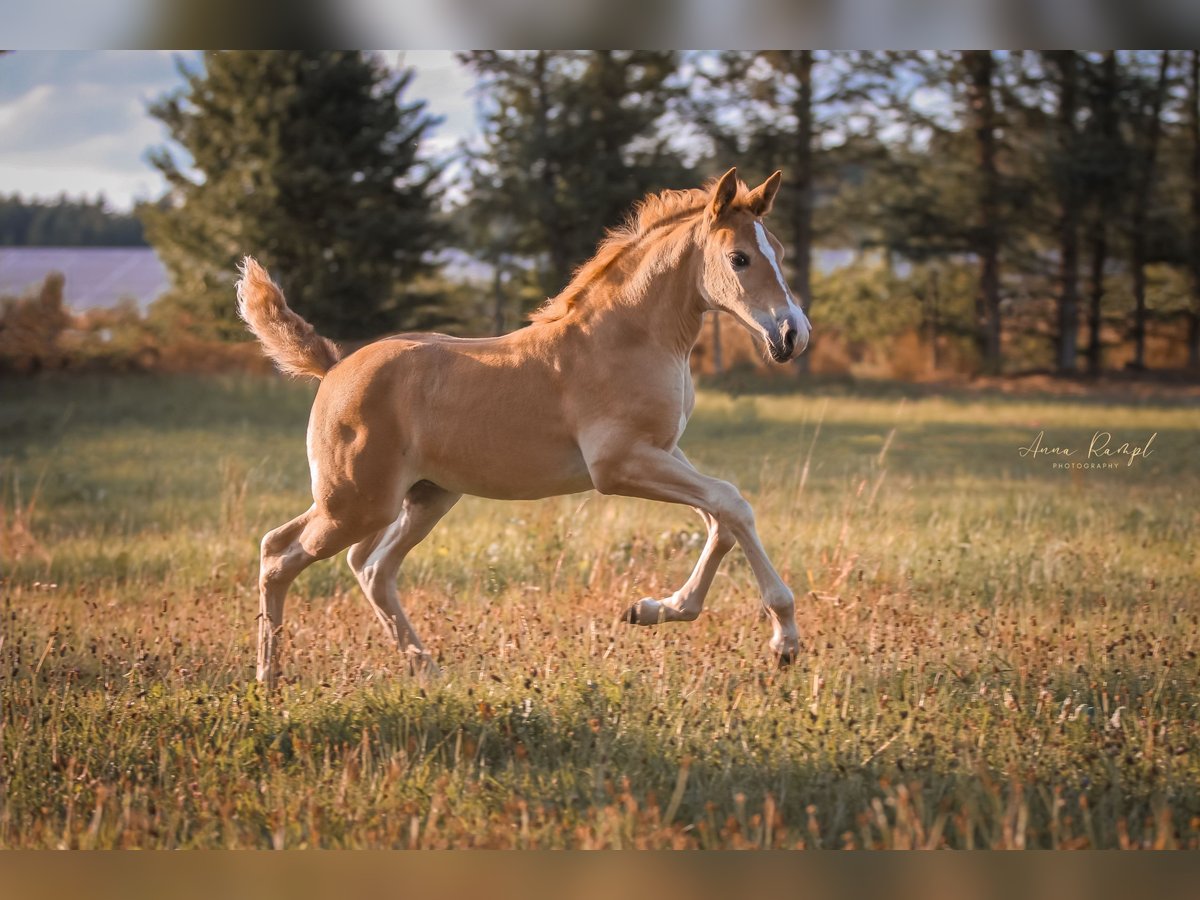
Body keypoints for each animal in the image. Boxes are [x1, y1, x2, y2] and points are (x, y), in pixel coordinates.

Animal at [237, 165, 811, 686]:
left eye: (782, 252)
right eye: (739, 258)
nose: (792, 335)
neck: (628, 338)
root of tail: (334, 367)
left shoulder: (665, 451)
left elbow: (721, 519)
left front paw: (653, 609)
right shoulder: (618, 464)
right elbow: (733, 503)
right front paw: (784, 639)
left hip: (423, 497)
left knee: (369, 567)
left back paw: (425, 670)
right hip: (355, 503)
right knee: (279, 552)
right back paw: (268, 676)